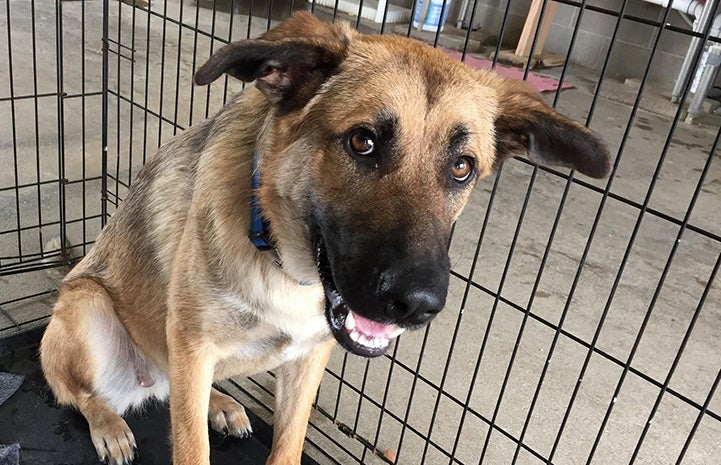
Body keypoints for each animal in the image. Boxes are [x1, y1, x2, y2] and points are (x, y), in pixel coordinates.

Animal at [39, 10, 612, 464]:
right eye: (362, 142)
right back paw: (111, 426)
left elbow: (287, 444)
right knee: (80, 394)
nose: (418, 305)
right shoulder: (193, 346)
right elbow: (189, 445)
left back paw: (219, 404)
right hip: (88, 309)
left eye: (463, 167)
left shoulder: (308, 358)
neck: (279, 255)